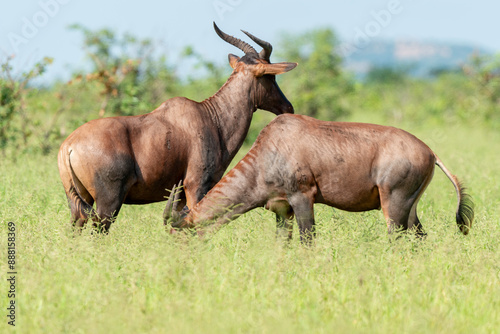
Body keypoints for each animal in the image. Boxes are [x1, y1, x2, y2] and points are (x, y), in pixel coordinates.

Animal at [58, 23, 300, 232]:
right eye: (270, 75)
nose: (288, 107)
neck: (210, 117)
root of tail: (68, 146)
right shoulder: (196, 186)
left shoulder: (181, 194)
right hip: (108, 202)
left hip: (79, 202)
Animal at [166, 113, 474, 241]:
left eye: (181, 236)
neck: (272, 145)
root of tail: (430, 152)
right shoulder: (282, 210)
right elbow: (283, 243)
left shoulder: (303, 197)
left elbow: (308, 239)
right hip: (411, 207)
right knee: (420, 237)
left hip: (394, 205)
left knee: (397, 238)